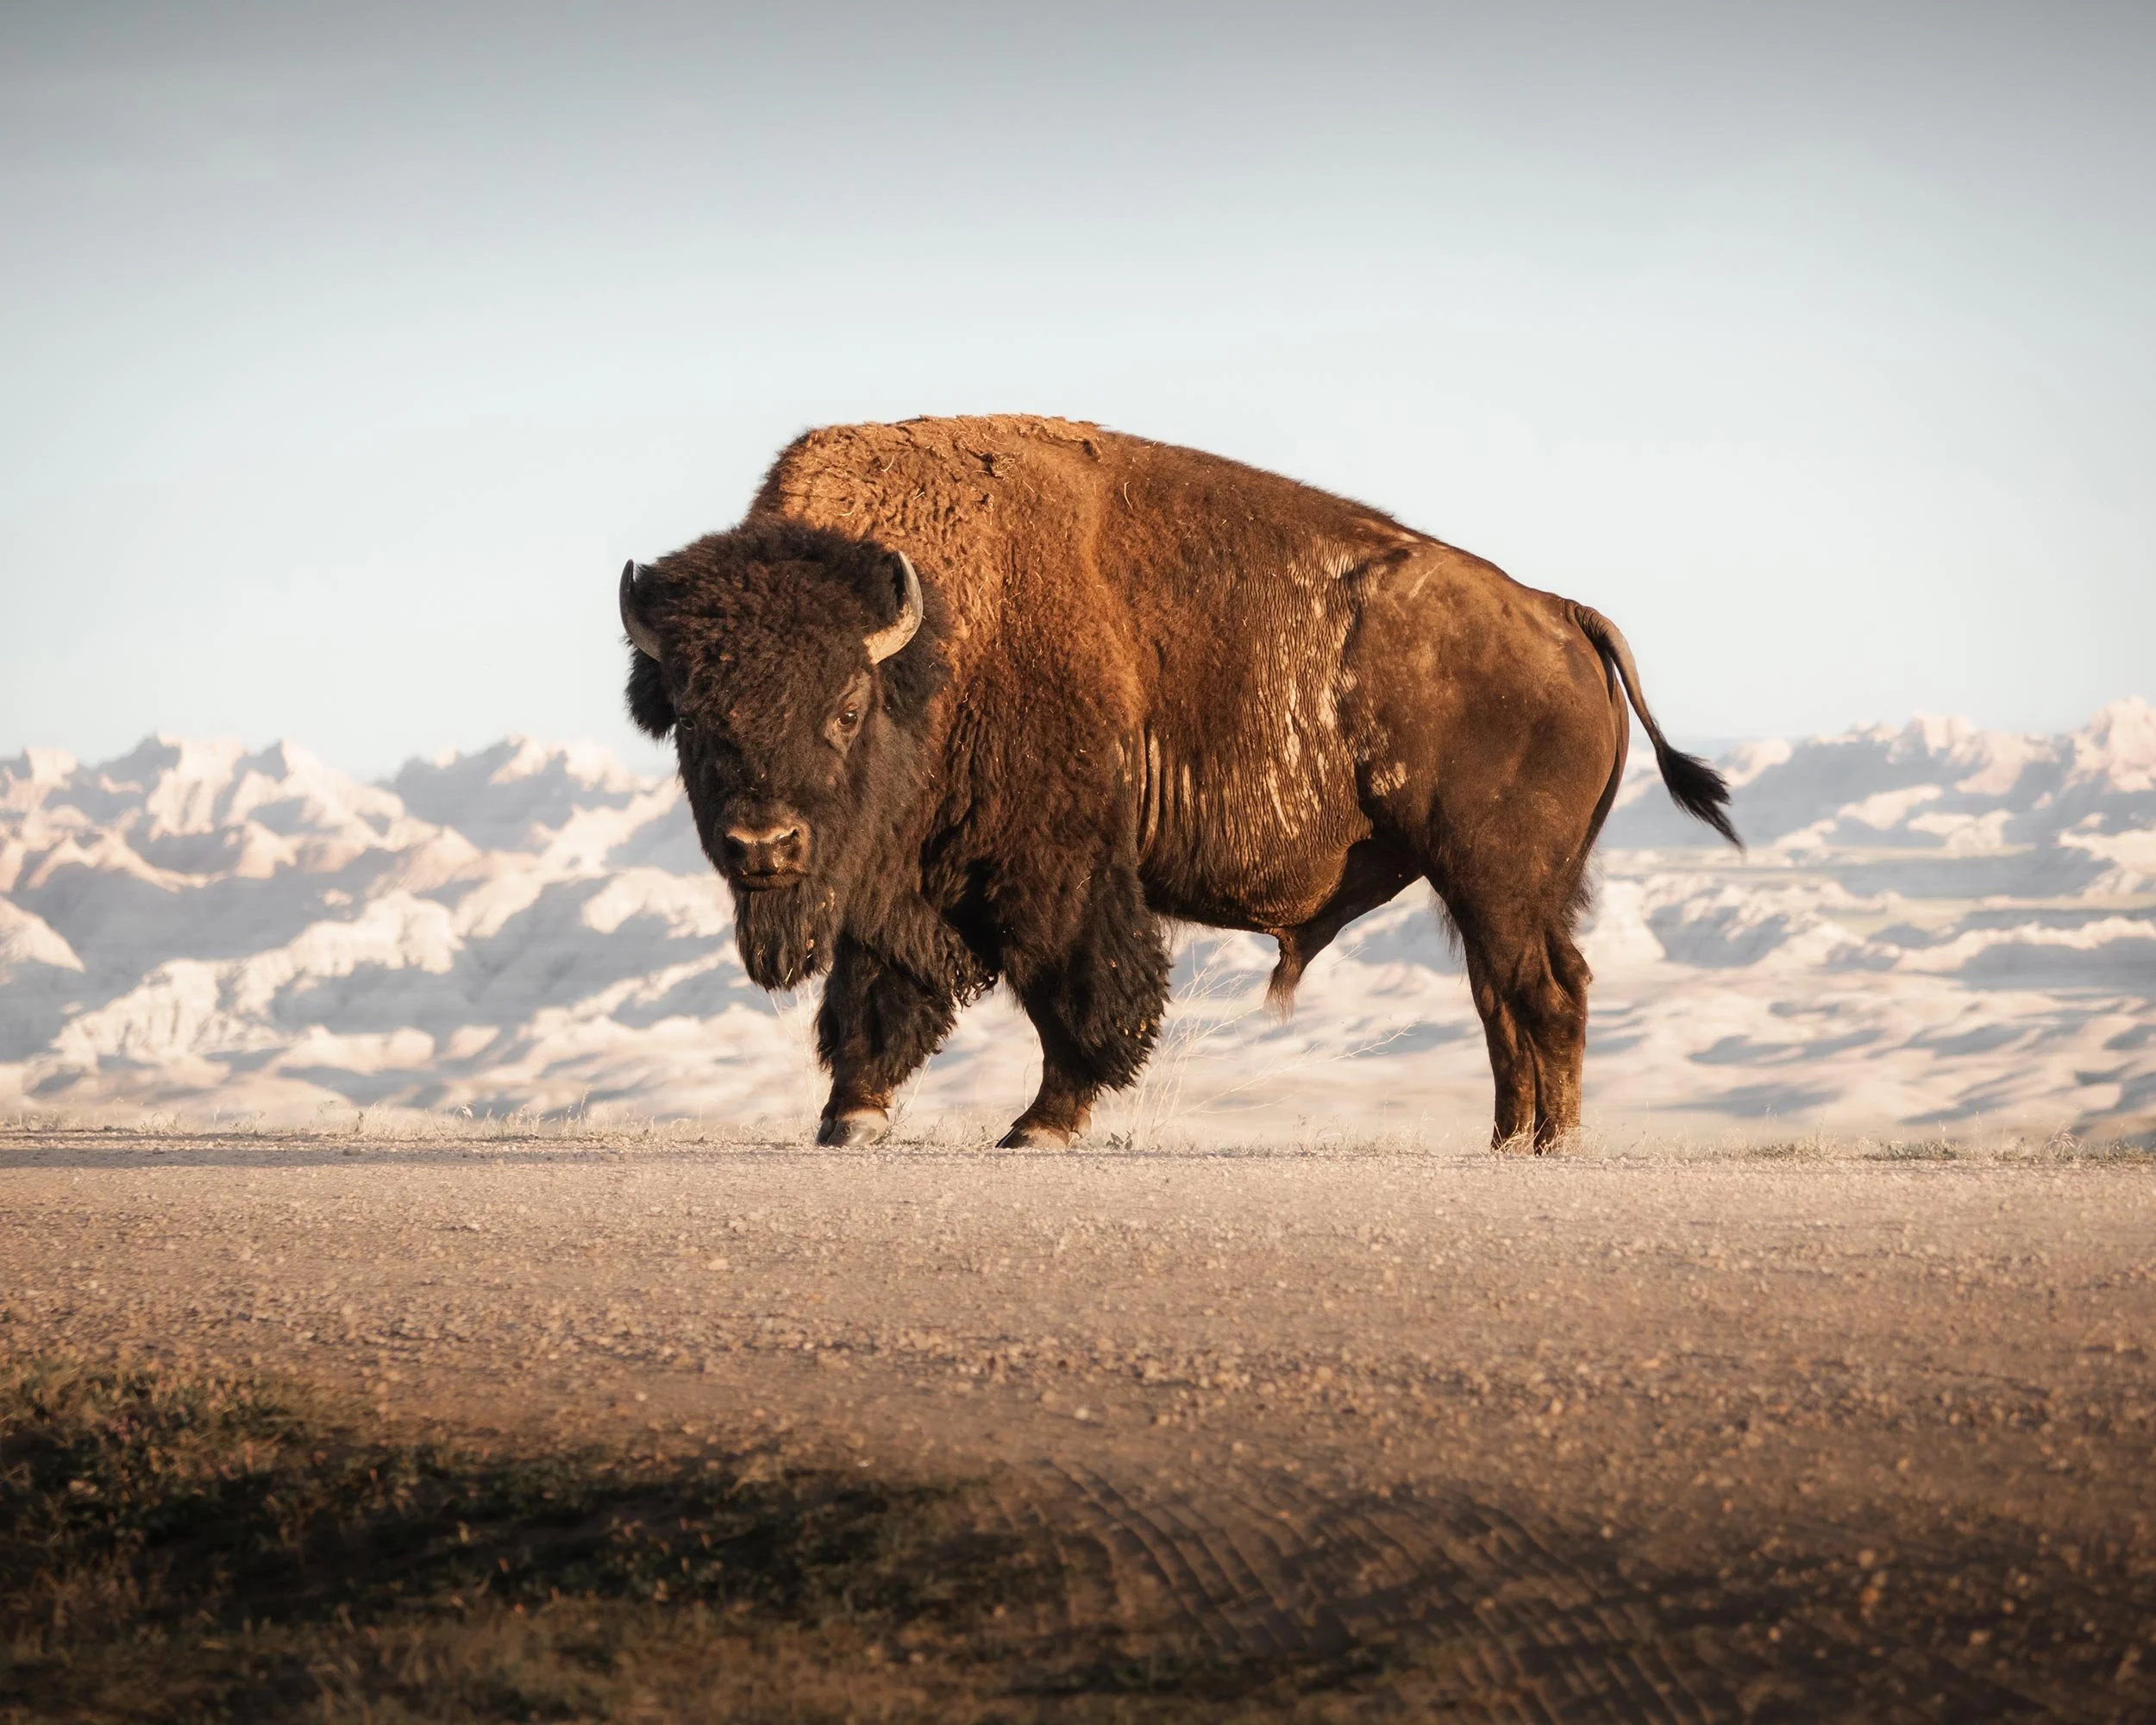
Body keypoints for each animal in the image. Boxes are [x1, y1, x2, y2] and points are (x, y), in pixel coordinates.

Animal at [619, 416, 1737, 1150]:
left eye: (845, 705)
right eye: (691, 716)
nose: (764, 846)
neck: (931, 642)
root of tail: (1559, 611)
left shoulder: (1055, 869)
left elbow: (1075, 991)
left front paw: (1038, 1127)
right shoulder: (888, 881)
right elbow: (875, 990)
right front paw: (849, 1116)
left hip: (1498, 878)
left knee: (1542, 993)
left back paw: (1546, 1147)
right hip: (1493, 889)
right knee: (1512, 999)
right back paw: (1511, 1140)